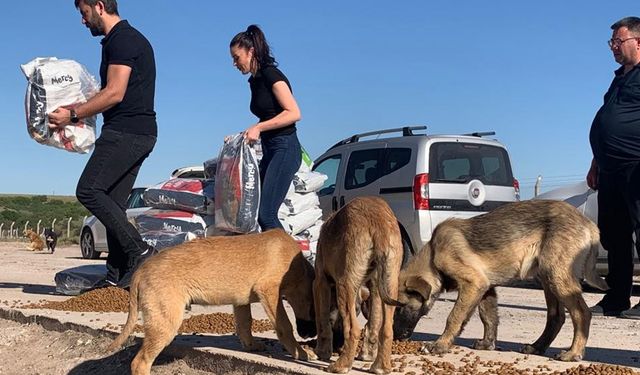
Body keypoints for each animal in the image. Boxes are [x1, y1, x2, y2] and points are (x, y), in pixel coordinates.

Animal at [110, 229, 320, 375]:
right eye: (314, 311)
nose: (311, 336)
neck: (300, 267)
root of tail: (141, 269)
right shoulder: (269, 291)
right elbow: (285, 326)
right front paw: (301, 352)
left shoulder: (241, 302)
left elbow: (245, 324)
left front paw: (251, 345)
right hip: (165, 322)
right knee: (140, 362)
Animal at [314, 198, 402, 374]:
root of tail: (379, 222)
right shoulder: (374, 287)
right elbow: (373, 324)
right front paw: (367, 355)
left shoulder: (320, 281)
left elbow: (322, 321)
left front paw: (322, 352)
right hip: (390, 281)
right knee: (387, 329)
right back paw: (380, 367)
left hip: (344, 283)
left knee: (353, 329)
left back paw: (341, 365)